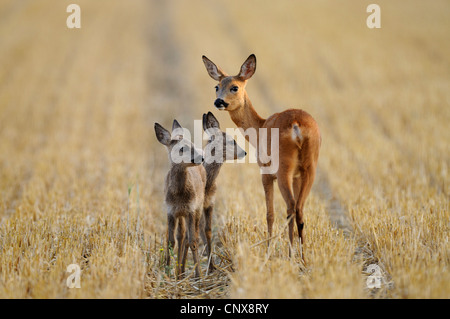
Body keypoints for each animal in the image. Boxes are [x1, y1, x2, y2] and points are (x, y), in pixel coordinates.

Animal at [202, 53, 322, 262]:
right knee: (299, 209)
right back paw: (303, 258)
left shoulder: (265, 172)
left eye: (235, 87)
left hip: (283, 168)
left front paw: (268, 251)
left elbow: (269, 213)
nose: (219, 102)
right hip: (310, 167)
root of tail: (297, 127)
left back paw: (289, 255)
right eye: (217, 86)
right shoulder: (297, 176)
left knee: (290, 207)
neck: (260, 128)